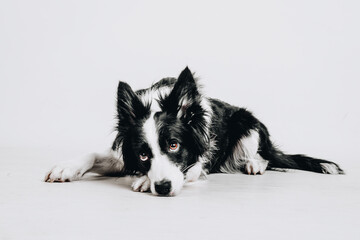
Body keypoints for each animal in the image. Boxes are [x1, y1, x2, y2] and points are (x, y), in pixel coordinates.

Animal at [44, 66, 344, 196]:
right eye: (143, 155)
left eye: (174, 145)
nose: (162, 188)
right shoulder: (124, 153)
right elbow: (94, 154)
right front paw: (65, 167)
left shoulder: (199, 160)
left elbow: (187, 169)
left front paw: (145, 181)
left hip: (247, 123)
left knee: (264, 156)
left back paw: (254, 164)